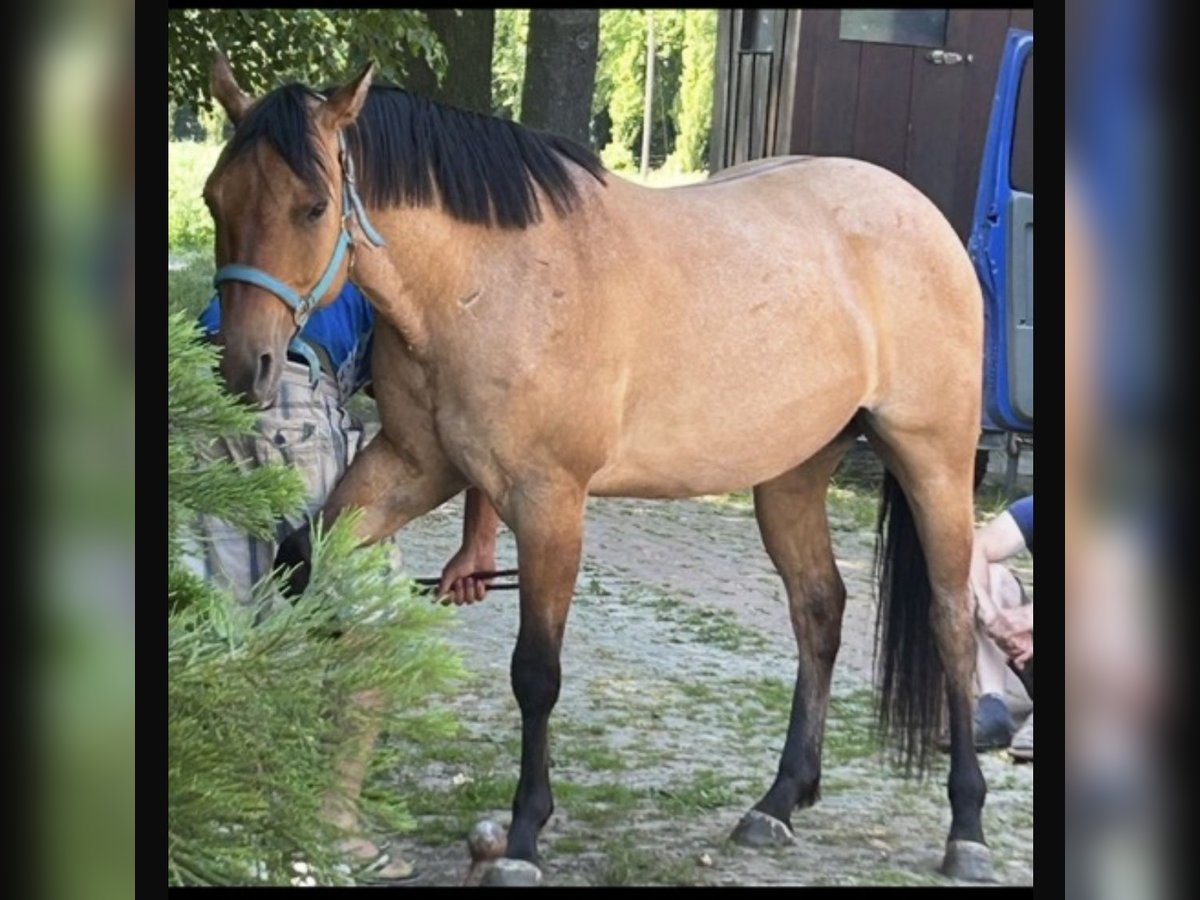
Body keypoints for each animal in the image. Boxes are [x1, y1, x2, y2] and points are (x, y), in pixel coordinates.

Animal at [204, 58, 993, 888]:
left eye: (313, 205)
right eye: (216, 198)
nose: (244, 369)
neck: (488, 279)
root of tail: (921, 217)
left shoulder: (549, 503)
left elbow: (536, 674)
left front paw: (523, 837)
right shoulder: (415, 467)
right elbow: (302, 561)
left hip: (933, 461)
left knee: (950, 619)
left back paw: (966, 827)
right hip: (791, 476)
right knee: (818, 609)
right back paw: (778, 802)